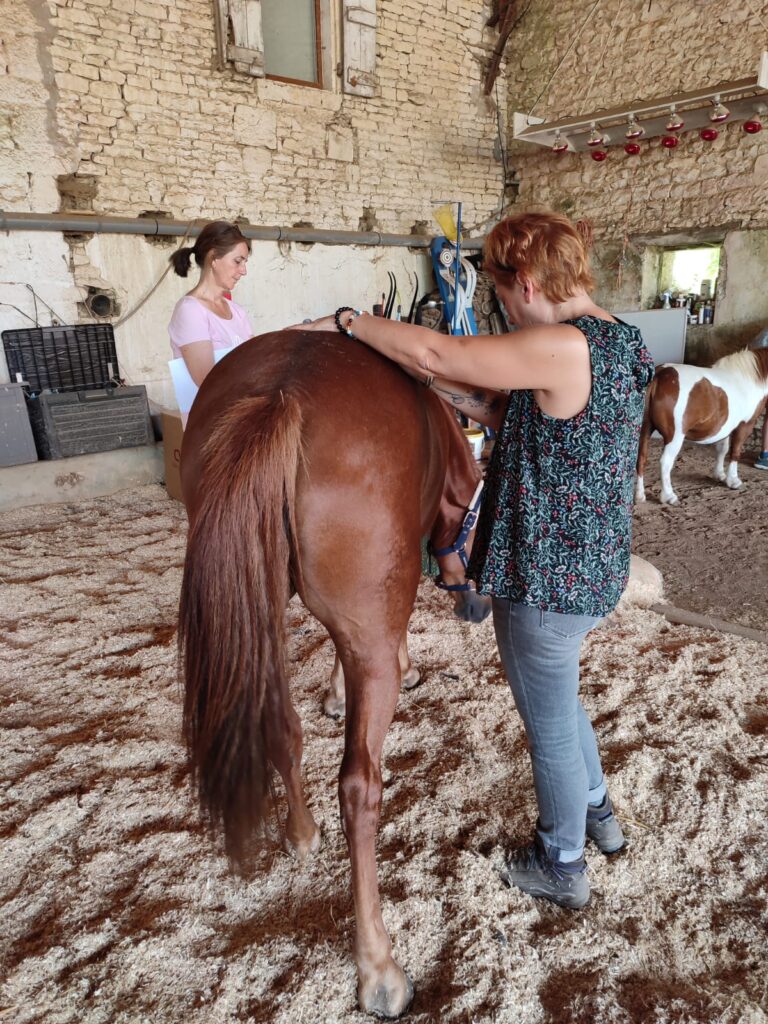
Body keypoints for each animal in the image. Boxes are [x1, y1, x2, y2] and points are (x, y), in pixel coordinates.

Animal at [180, 331, 489, 1019]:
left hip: (259, 610)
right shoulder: (374, 627)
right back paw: (378, 967)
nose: (473, 600)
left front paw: (333, 698)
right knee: (357, 788)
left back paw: (301, 833)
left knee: (281, 728)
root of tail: (283, 394)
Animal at [638, 346, 768, 505]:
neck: (748, 379)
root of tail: (658, 375)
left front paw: (719, 475)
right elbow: (735, 452)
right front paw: (733, 480)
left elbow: (722, 450)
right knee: (665, 462)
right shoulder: (745, 425)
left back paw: (639, 496)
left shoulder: (725, 427)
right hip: (674, 436)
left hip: (645, 429)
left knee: (641, 458)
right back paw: (669, 496)